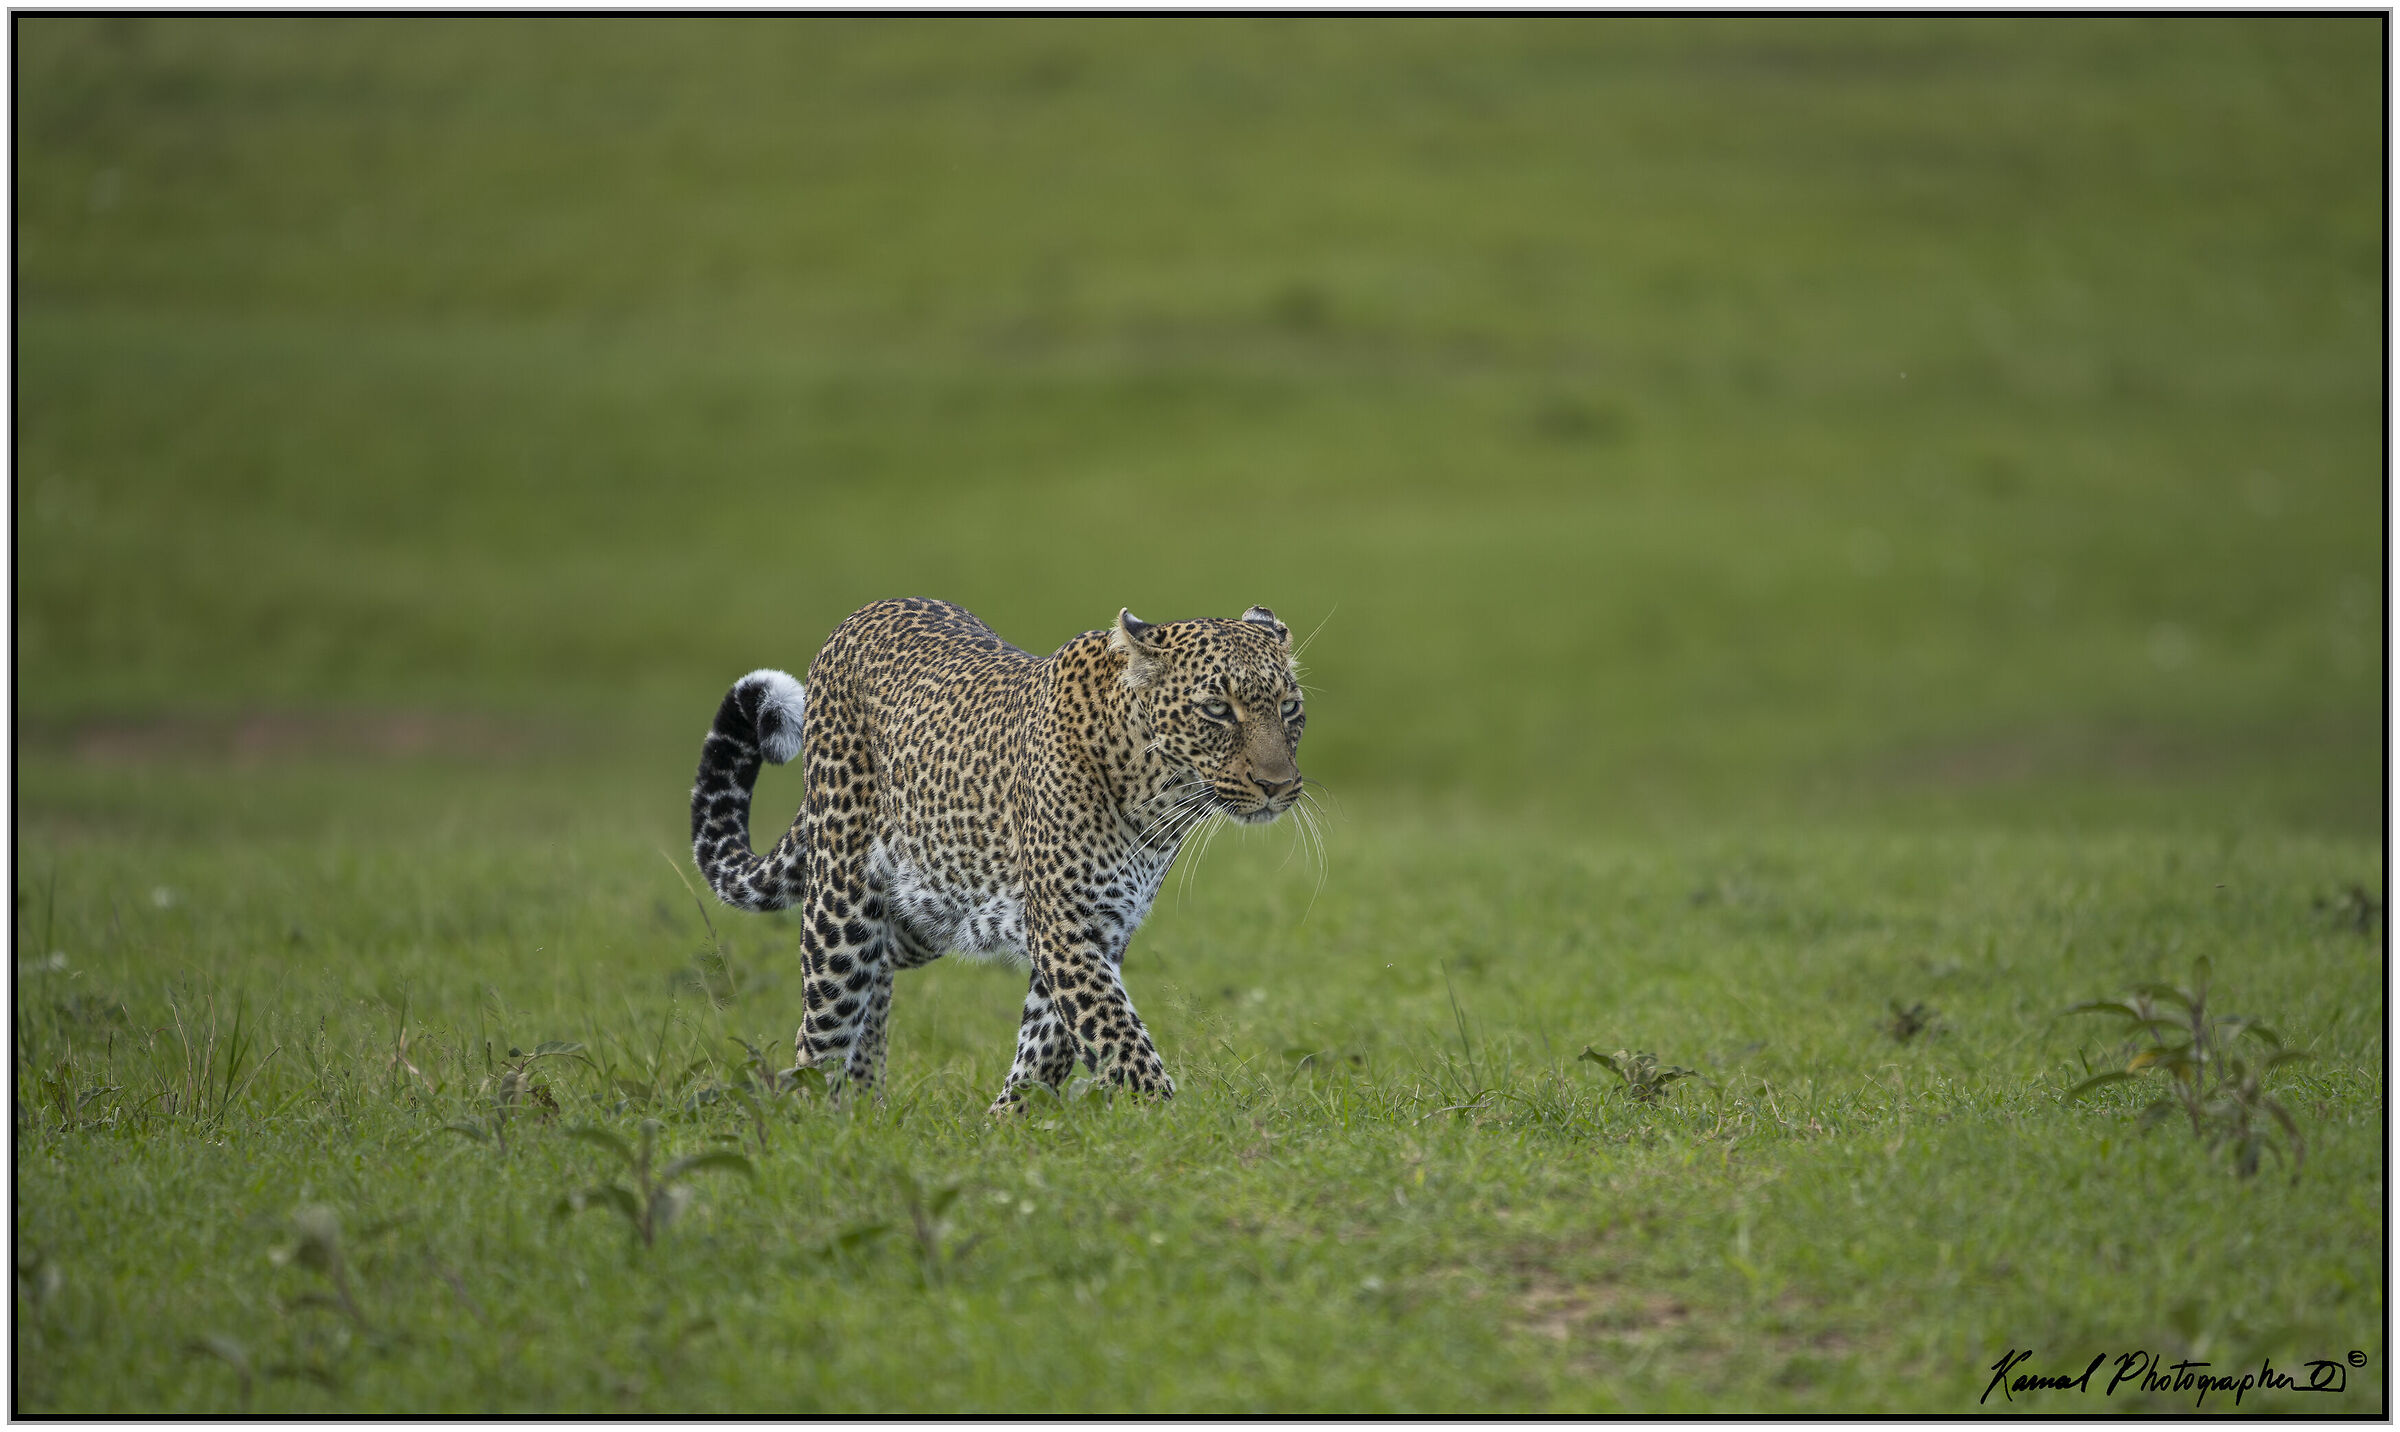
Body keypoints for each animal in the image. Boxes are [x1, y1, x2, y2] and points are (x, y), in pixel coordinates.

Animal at [689, 596, 1307, 1115]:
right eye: (1217, 710)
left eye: (1289, 707)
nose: (1278, 786)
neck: (1157, 794)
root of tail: (860, 614)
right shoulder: (1066, 925)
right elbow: (1117, 1038)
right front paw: (1171, 1123)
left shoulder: (1102, 927)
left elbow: (1051, 1043)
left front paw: (1007, 1125)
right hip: (842, 901)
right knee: (821, 1026)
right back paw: (816, 1122)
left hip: (924, 912)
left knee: (876, 977)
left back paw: (863, 1107)